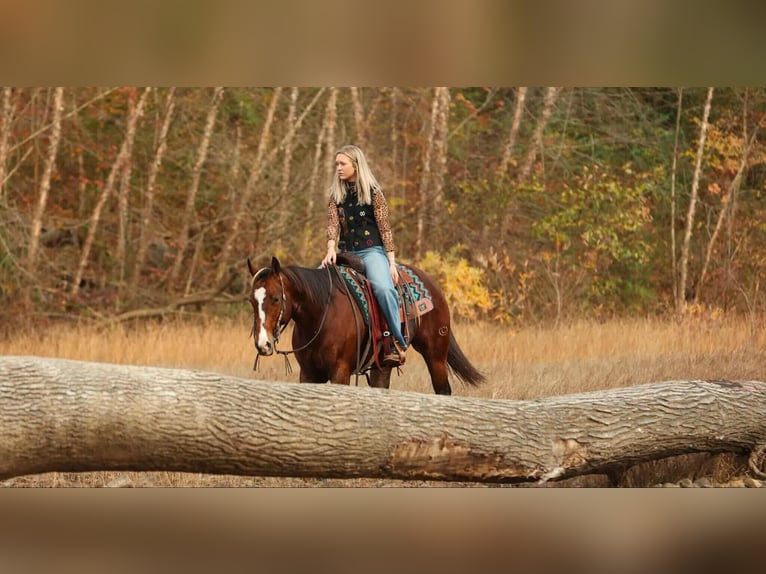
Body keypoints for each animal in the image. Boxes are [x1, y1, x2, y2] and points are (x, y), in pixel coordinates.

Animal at [246, 256, 486, 395]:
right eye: (251, 300)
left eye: (275, 299)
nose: (262, 344)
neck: (321, 313)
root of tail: (430, 284)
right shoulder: (309, 374)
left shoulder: (340, 372)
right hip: (383, 366)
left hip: (435, 355)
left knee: (443, 390)